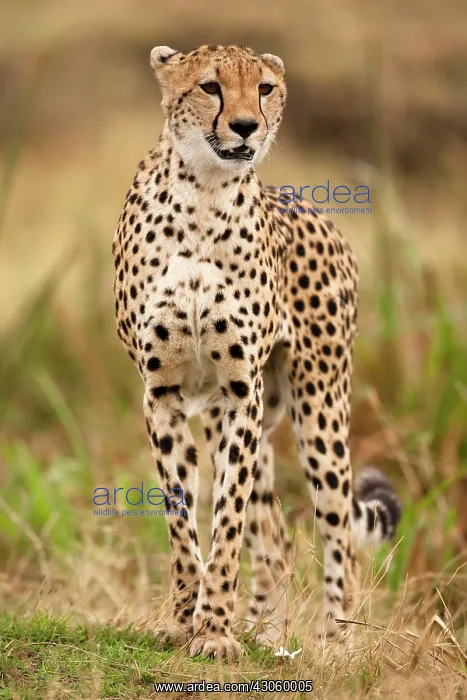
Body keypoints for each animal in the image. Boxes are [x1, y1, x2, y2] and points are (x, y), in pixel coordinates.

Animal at [112, 43, 402, 660]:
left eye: (265, 88)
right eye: (210, 87)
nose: (246, 125)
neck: (203, 193)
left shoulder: (240, 393)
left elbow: (227, 523)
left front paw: (215, 631)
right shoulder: (163, 394)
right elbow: (182, 519)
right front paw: (185, 621)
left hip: (319, 408)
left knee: (337, 533)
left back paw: (335, 642)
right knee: (275, 540)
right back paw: (267, 634)